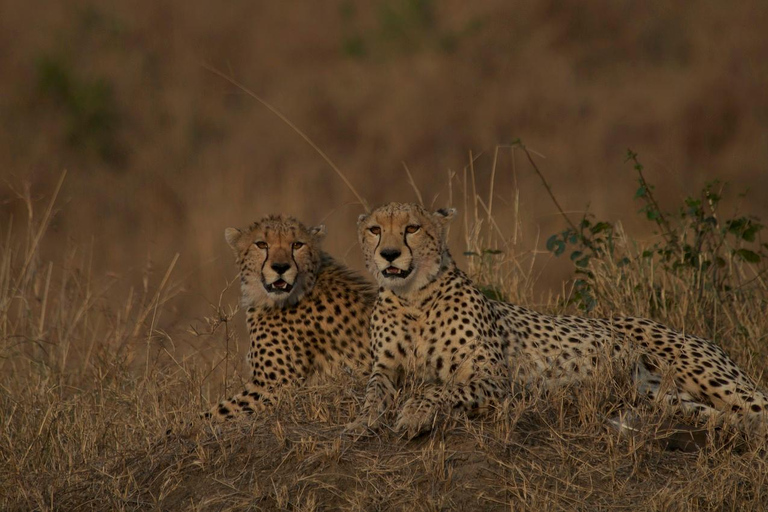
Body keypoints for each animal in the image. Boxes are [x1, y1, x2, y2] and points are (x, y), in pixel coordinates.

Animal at [352, 202, 764, 438]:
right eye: (375, 229)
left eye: (412, 228)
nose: (389, 254)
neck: (413, 299)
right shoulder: (386, 368)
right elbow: (373, 393)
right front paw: (363, 420)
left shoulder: (493, 376)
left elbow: (438, 390)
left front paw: (413, 414)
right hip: (662, 396)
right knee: (727, 415)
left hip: (708, 376)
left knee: (759, 403)